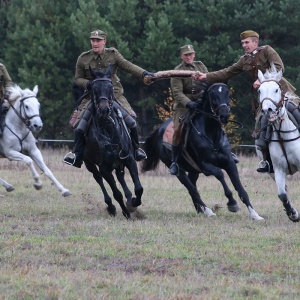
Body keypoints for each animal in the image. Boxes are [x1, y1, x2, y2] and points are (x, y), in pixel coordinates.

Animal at [82, 66, 143, 218]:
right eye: (94, 89)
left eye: (110, 88)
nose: (104, 110)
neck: (109, 132)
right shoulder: (104, 168)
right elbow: (116, 193)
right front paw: (126, 212)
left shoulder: (129, 159)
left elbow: (139, 188)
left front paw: (133, 203)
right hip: (89, 164)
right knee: (98, 178)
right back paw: (111, 207)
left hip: (118, 163)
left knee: (120, 176)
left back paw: (129, 198)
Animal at [141, 83, 262, 219]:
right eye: (213, 95)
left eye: (228, 94)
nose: (224, 116)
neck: (212, 135)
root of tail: (159, 130)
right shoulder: (206, 166)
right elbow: (220, 174)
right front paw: (232, 203)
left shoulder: (229, 163)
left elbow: (240, 187)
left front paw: (255, 214)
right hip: (179, 171)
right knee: (191, 189)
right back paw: (208, 211)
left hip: (193, 171)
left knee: (193, 187)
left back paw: (201, 210)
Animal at [255, 63, 300, 221]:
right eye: (260, 90)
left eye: (276, 89)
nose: (267, 110)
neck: (282, 134)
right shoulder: (279, 169)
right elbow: (282, 194)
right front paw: (293, 214)